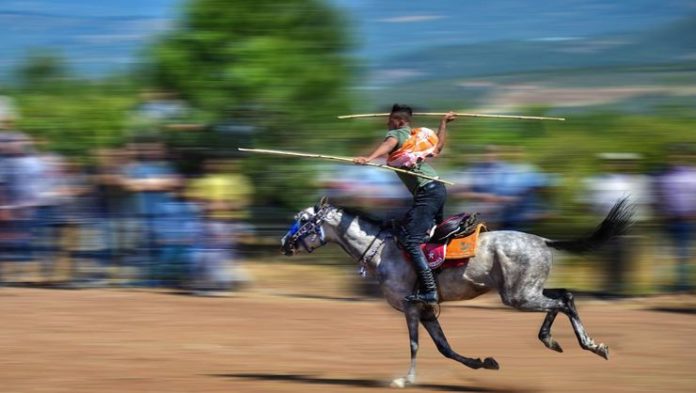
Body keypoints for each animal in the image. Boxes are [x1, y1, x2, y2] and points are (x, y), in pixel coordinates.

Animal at [282, 196, 632, 386]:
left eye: (303, 219)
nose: (285, 243)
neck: (384, 251)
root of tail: (544, 241)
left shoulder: (411, 308)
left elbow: (415, 345)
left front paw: (405, 379)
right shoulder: (426, 310)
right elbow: (444, 348)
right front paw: (483, 363)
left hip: (518, 296)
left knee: (561, 302)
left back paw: (588, 345)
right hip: (528, 289)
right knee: (565, 296)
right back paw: (559, 341)